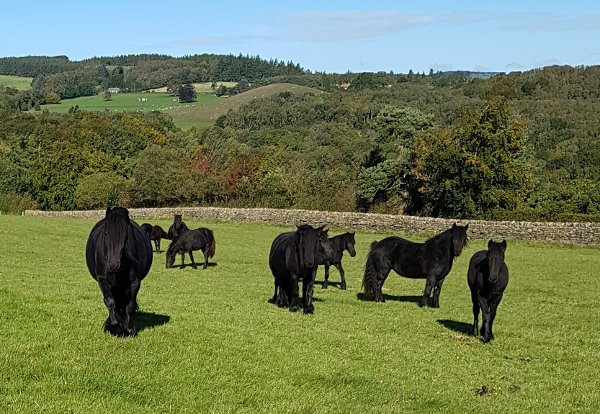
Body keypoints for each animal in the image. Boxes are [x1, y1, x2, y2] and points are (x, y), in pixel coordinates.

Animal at [85, 207, 154, 336]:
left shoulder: (135, 282)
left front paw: (129, 329)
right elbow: (110, 301)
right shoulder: (102, 280)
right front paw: (114, 325)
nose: (113, 265)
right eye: (106, 233)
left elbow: (130, 306)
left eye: (126, 236)